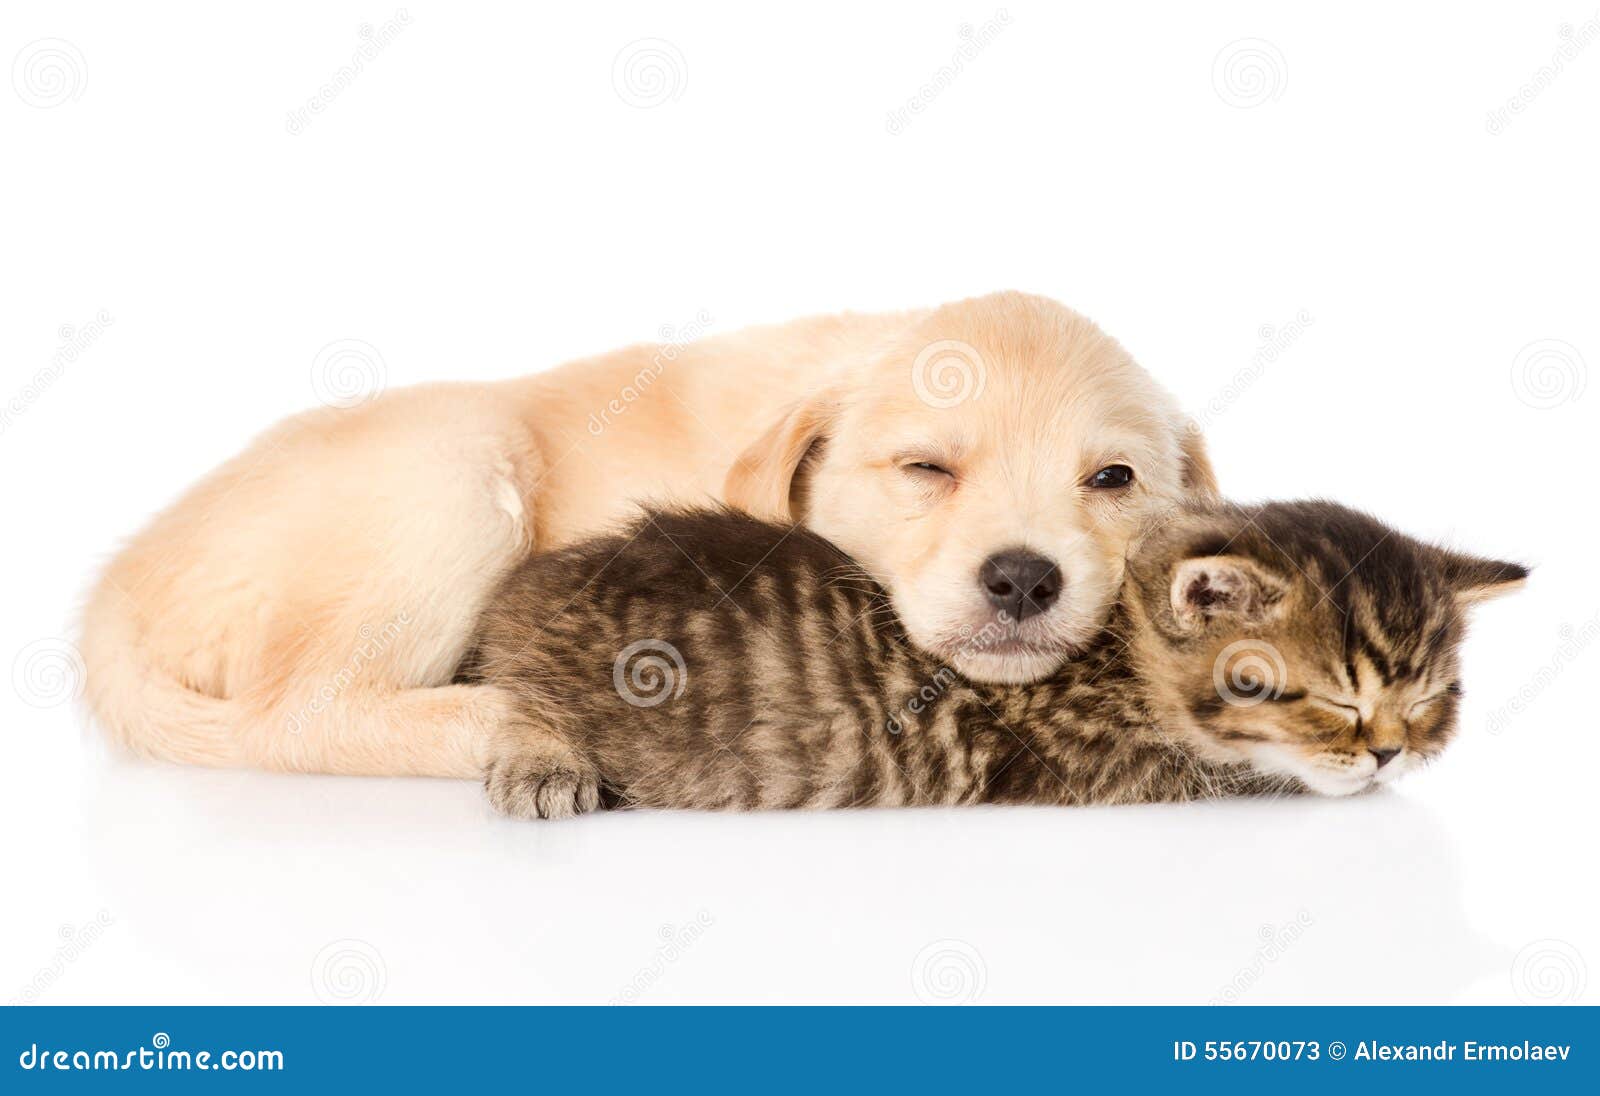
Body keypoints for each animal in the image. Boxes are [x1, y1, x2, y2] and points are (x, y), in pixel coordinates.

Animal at [81, 286, 1216, 774]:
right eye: (926, 469)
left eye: (1112, 480)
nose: (1023, 580)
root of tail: (120, 584)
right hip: (457, 470)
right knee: (294, 711)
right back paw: (522, 719)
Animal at [467, 499, 1523, 816]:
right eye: (1336, 701)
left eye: (1426, 702)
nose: (1388, 749)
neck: (1125, 646)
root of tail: (531, 586)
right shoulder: (1111, 765)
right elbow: (1255, 773)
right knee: (514, 700)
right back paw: (542, 765)